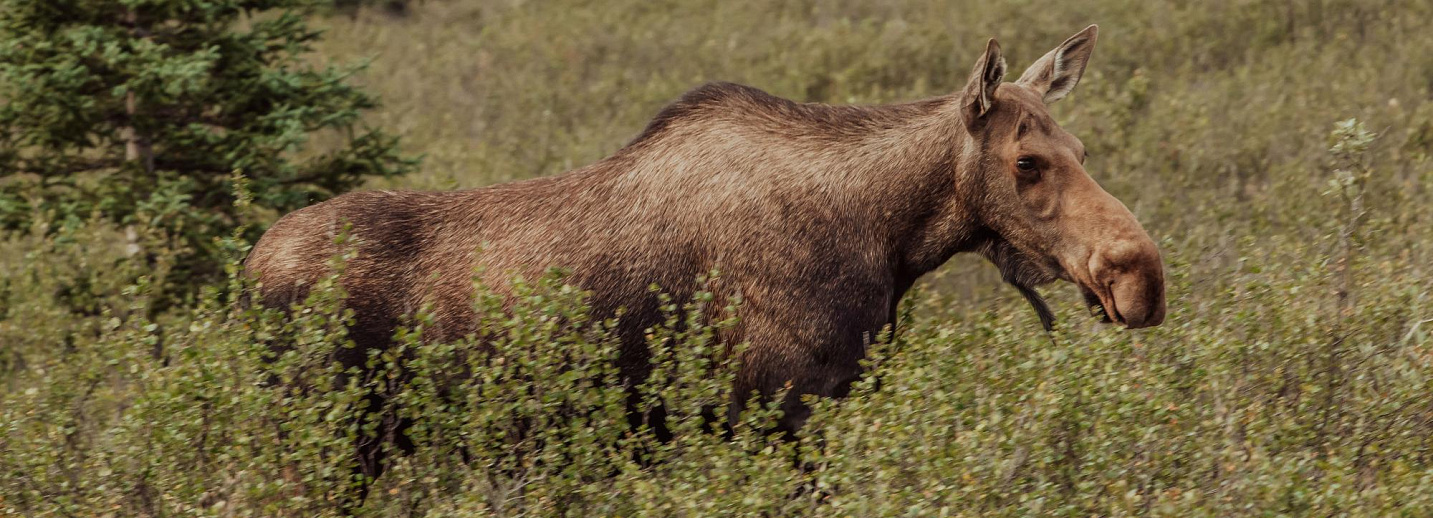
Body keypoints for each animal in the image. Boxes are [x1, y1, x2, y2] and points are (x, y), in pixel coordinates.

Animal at [246, 23, 1163, 493]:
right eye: (1026, 162)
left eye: (1080, 147)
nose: (1138, 275)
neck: (890, 243)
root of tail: (245, 274)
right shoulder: (782, 415)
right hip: (319, 443)